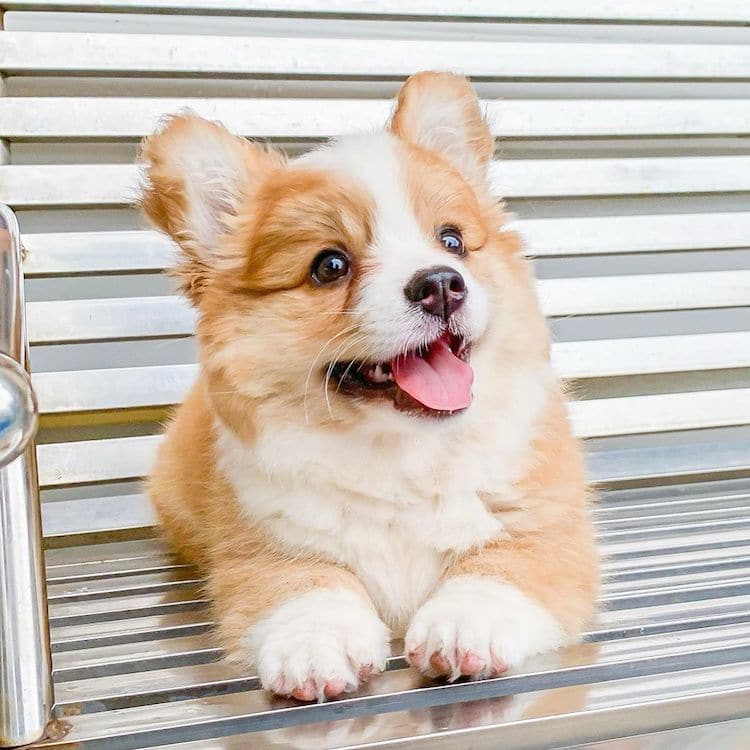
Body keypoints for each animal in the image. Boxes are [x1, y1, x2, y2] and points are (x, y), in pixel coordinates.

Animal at [141, 70, 600, 704]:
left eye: (452, 241)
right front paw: (316, 643)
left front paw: (465, 623)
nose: (441, 284)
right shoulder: (264, 549)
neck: (401, 454)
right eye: (330, 266)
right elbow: (306, 588)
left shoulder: (546, 534)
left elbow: (497, 569)